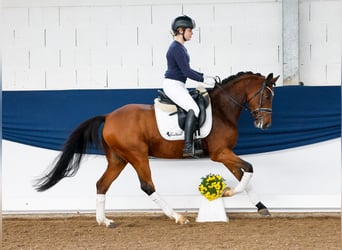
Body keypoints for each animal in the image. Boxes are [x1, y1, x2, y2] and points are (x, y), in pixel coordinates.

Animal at [34, 71, 280, 228]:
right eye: (267, 95)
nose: (265, 124)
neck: (222, 110)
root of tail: (109, 116)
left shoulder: (225, 154)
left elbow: (243, 175)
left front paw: (261, 207)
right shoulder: (220, 153)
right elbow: (249, 168)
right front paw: (228, 193)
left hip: (118, 159)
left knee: (102, 184)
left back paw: (105, 221)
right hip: (137, 156)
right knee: (147, 186)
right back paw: (178, 217)